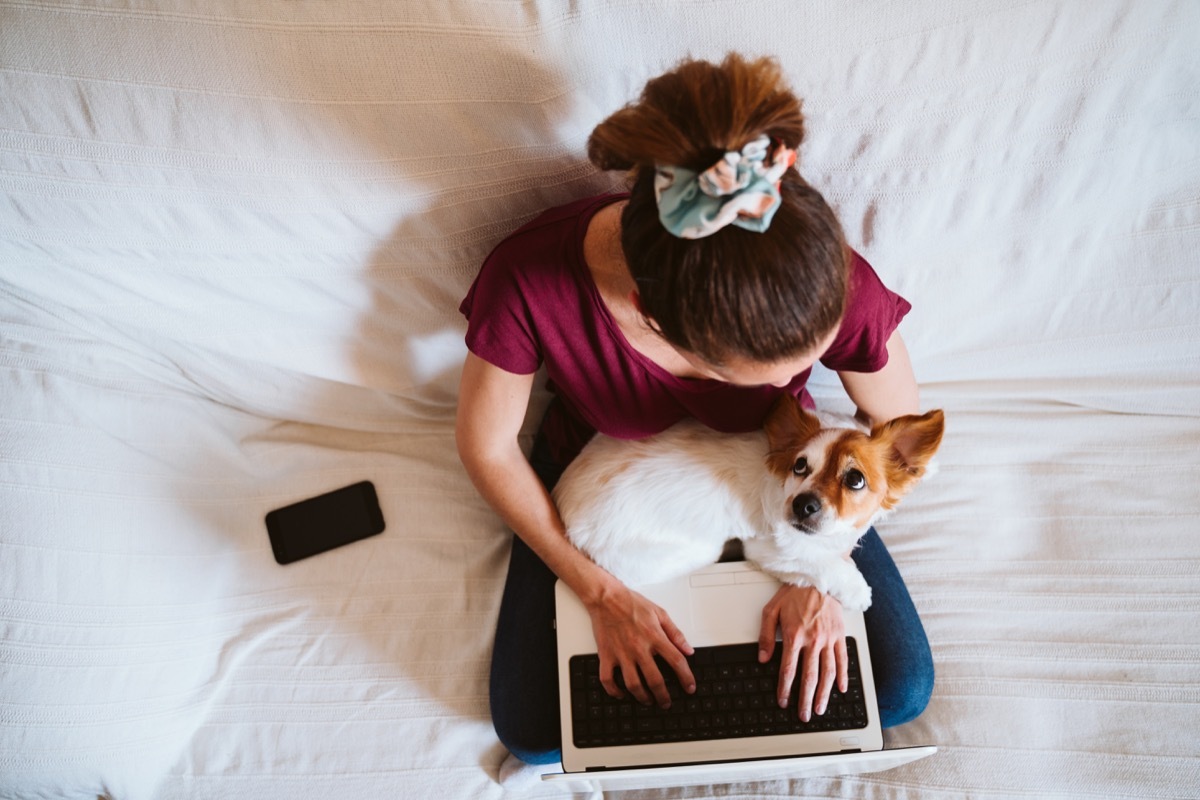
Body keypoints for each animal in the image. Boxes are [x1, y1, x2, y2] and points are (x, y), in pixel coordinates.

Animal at [552, 395, 945, 614]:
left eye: (855, 480)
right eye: (799, 466)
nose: (802, 505)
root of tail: (562, 498)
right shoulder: (770, 548)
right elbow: (824, 565)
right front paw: (855, 590)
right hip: (699, 549)